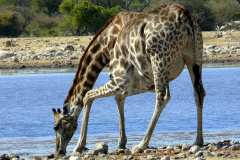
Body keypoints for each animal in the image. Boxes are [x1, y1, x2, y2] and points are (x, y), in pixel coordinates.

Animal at [51, 3, 205, 156]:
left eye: (56, 127)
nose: (59, 151)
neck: (106, 43)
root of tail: (185, 14)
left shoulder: (120, 78)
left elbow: (88, 96)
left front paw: (79, 146)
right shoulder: (139, 82)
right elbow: (118, 99)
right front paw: (121, 142)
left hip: (159, 59)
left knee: (162, 97)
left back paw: (142, 144)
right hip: (194, 58)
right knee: (199, 93)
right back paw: (198, 140)